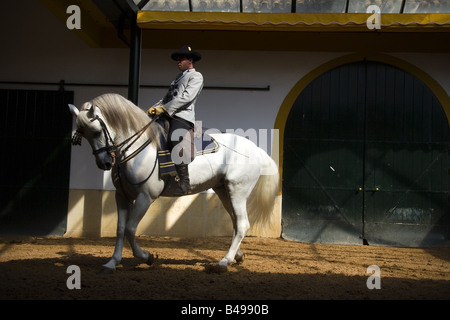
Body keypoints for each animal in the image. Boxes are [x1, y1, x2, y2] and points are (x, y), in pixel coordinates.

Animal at [68, 92, 278, 272]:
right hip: (223, 190)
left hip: (237, 191)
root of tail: (254, 148)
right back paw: (237, 256)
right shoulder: (122, 196)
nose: (103, 163)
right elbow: (120, 230)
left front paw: (146, 257)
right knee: (236, 223)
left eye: (96, 132)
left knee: (242, 224)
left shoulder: (145, 197)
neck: (138, 147)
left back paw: (224, 262)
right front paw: (112, 262)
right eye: (83, 134)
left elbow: (130, 229)